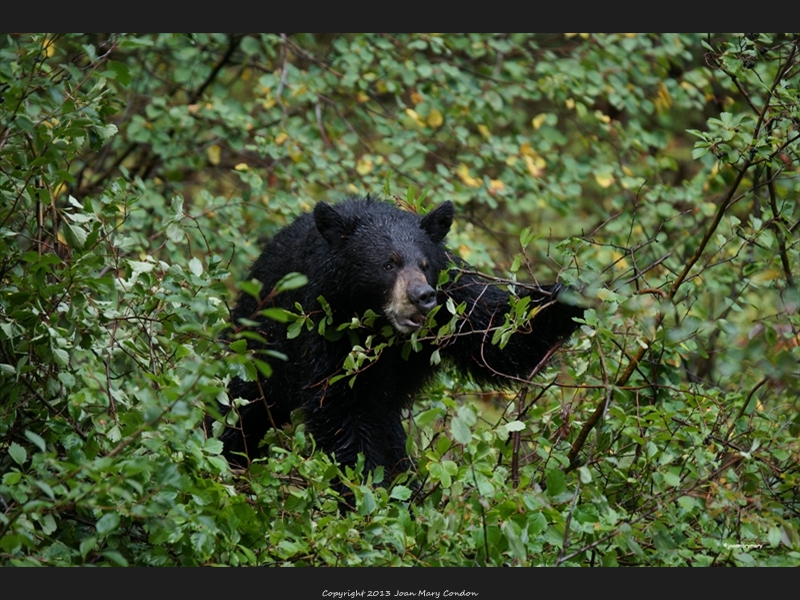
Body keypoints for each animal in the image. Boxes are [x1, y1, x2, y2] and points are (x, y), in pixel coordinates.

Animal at [216, 197, 584, 488]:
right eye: (388, 264)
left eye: (424, 264)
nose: (422, 296)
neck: (382, 326)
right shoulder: (326, 323)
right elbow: (343, 405)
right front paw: (372, 487)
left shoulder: (452, 295)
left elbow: (495, 334)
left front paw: (565, 299)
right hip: (260, 345)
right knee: (243, 406)